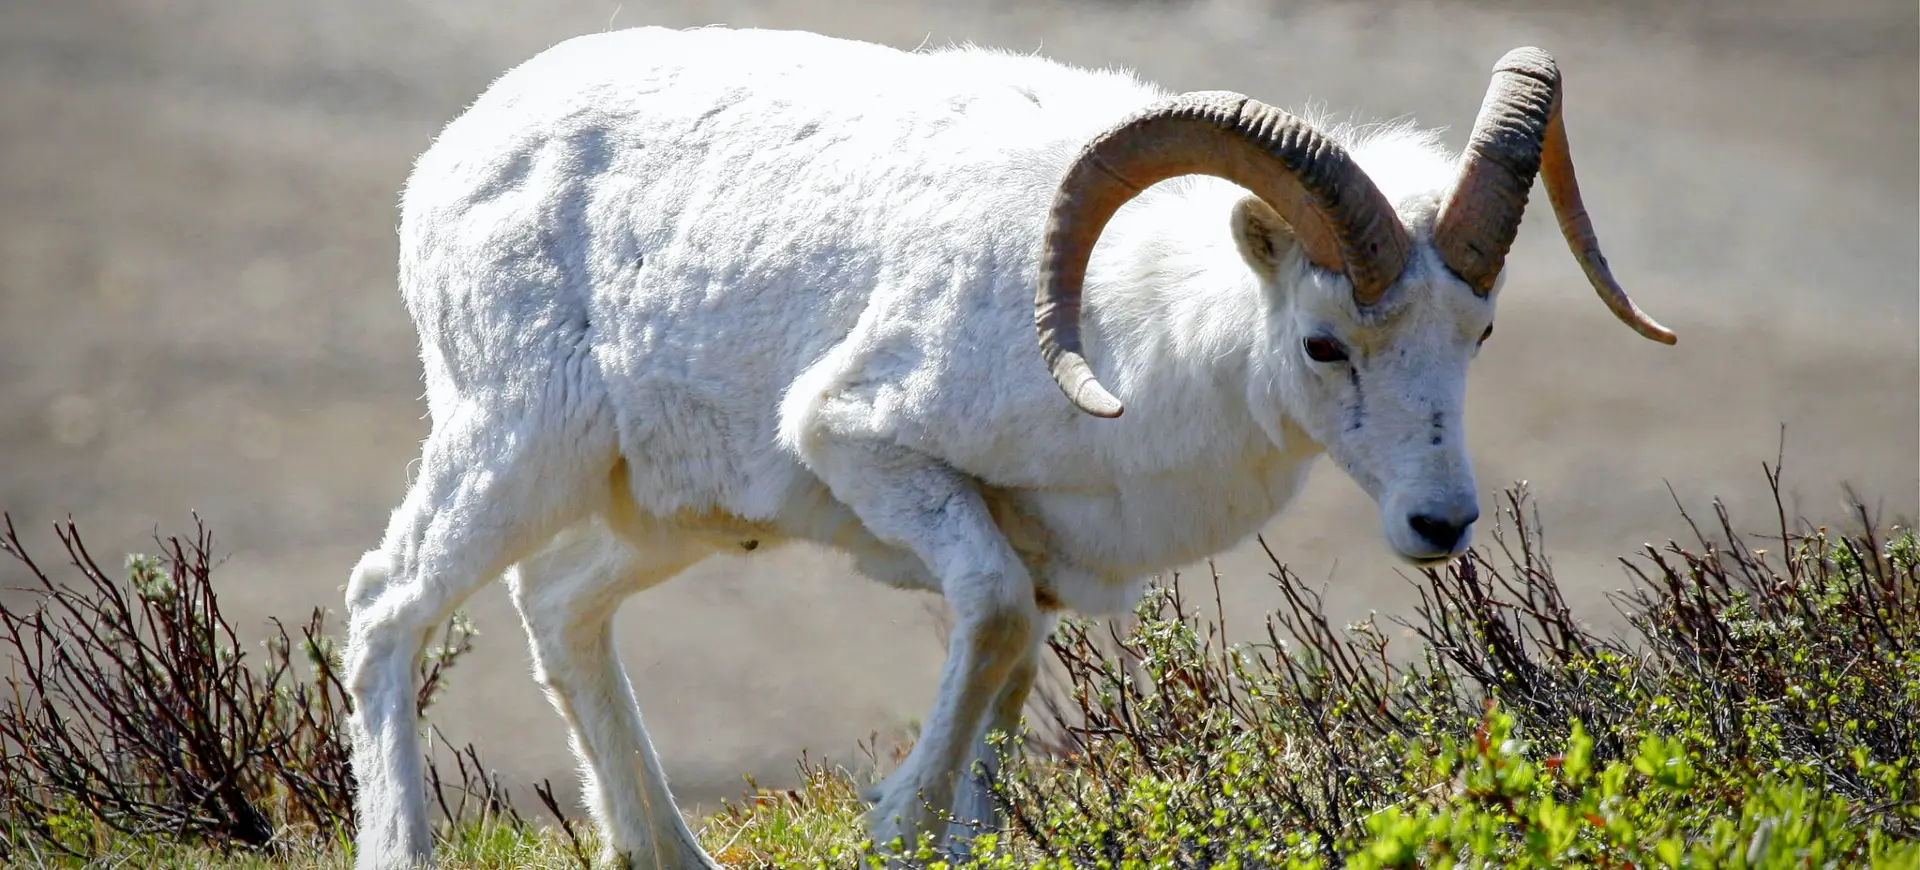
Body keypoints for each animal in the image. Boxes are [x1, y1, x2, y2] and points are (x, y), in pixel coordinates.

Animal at [341, 25, 1681, 868]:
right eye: (1322, 345)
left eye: (1479, 333)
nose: (1439, 525)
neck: (1123, 330)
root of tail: (456, 156)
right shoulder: (873, 455)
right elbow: (981, 625)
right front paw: (896, 824)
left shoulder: (1034, 557)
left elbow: (1009, 682)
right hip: (513, 455)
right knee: (385, 606)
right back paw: (401, 848)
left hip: (672, 515)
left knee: (561, 609)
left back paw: (668, 852)